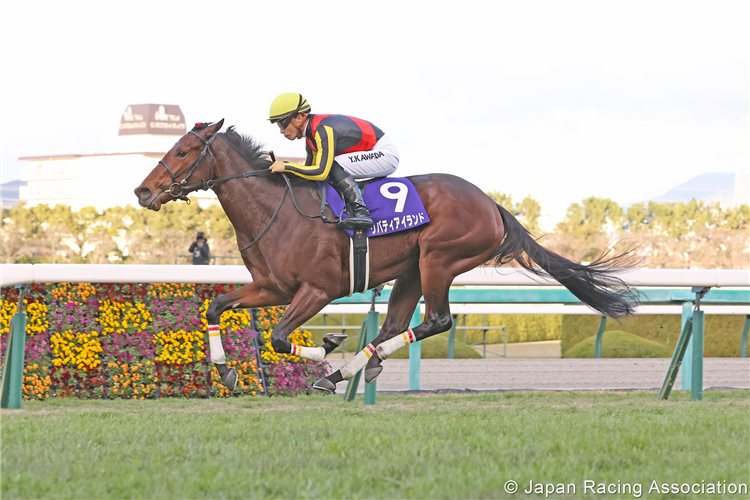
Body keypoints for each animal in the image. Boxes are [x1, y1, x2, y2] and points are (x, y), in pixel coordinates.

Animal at [137, 119, 640, 392]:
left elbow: (279, 338)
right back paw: (357, 366)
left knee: (436, 321)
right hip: (412, 268)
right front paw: (225, 373)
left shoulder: (318, 290)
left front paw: (327, 347)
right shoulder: (271, 287)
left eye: (183, 150)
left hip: (439, 259)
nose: (143, 191)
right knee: (396, 324)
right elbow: (215, 306)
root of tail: (491, 203)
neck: (275, 210)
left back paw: (343, 369)